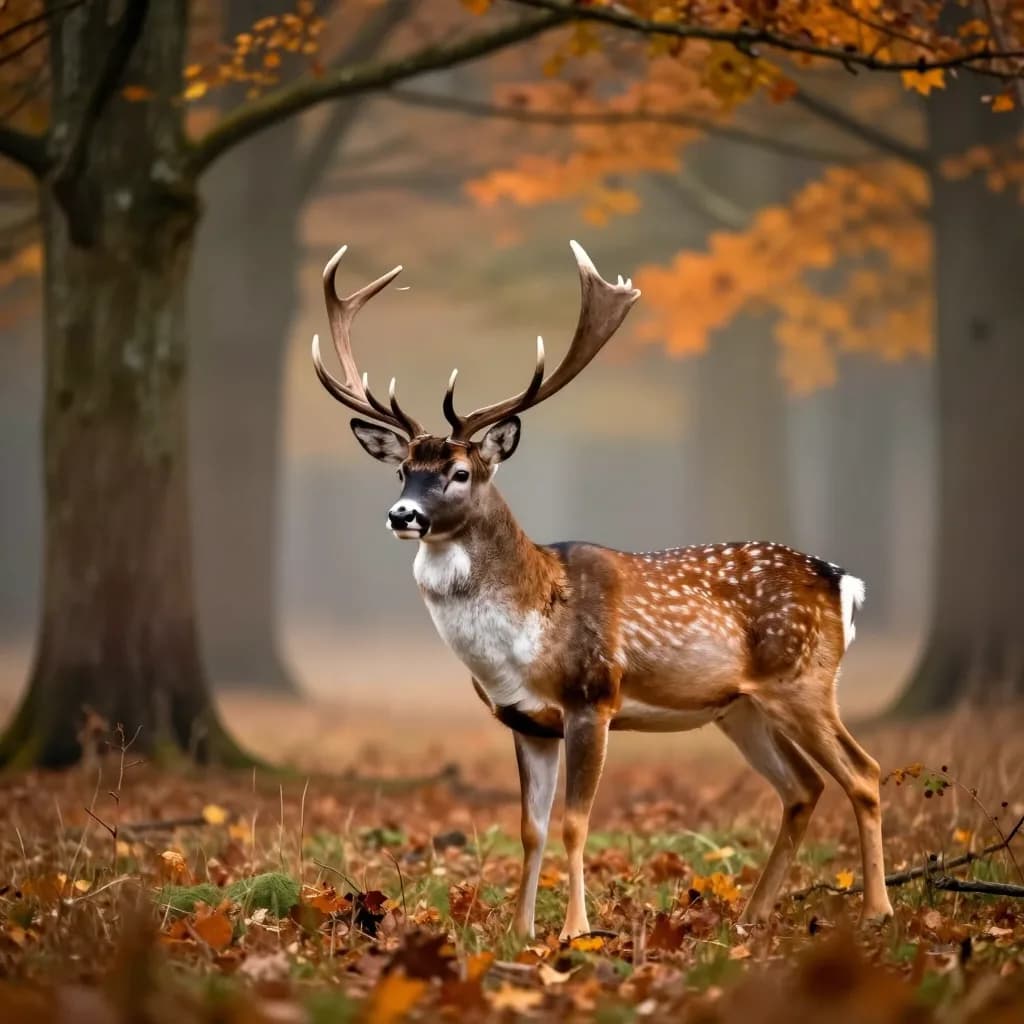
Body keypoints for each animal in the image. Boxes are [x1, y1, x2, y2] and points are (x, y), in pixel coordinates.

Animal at [311, 241, 894, 941]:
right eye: (401, 469)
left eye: (460, 472)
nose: (403, 514)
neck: (526, 634)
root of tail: (844, 582)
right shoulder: (525, 720)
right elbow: (531, 828)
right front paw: (523, 930)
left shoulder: (593, 697)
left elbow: (574, 822)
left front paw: (575, 931)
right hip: (741, 707)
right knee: (803, 786)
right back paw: (750, 916)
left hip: (802, 679)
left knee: (864, 773)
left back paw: (877, 910)